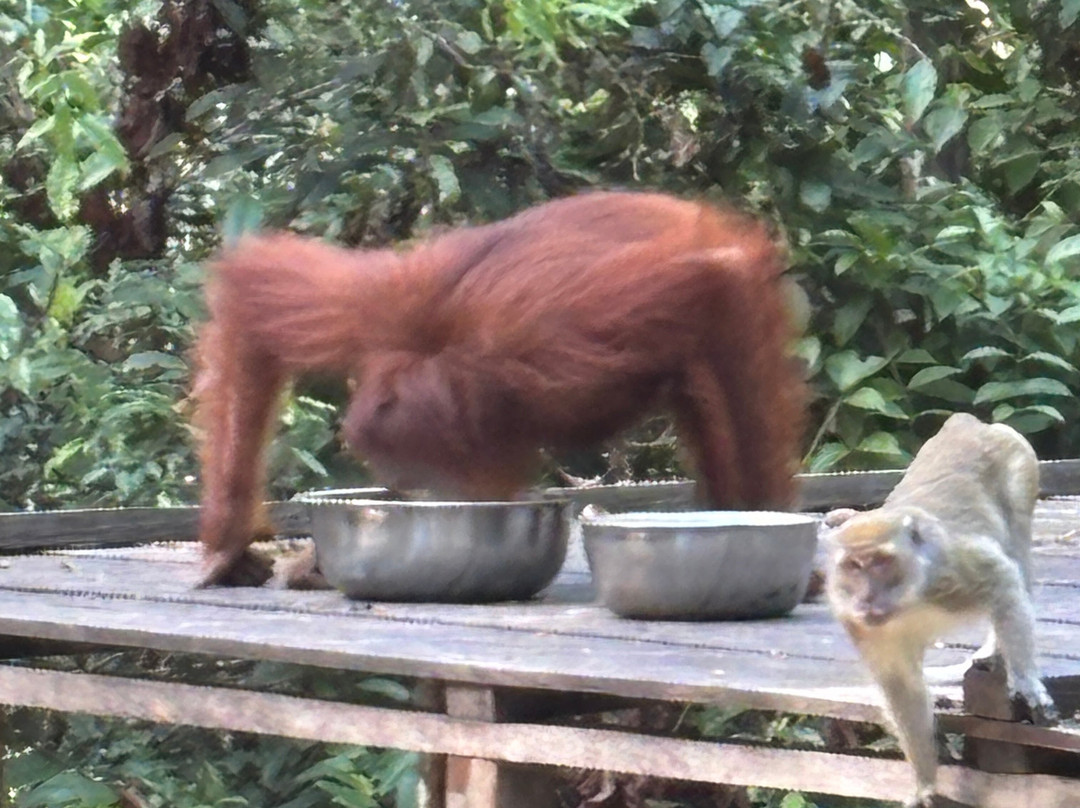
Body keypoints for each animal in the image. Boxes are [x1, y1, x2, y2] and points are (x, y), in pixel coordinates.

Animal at [193, 191, 806, 587]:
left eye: (432, 476)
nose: (433, 498)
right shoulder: (383, 306)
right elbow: (253, 291)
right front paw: (229, 552)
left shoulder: (547, 336)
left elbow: (717, 280)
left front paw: (762, 525)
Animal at [824, 412, 1058, 807]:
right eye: (853, 566)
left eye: (881, 562)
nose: (867, 598)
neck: (907, 599)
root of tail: (965, 423)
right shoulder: (859, 623)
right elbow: (902, 686)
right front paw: (925, 784)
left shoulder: (954, 568)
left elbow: (1003, 578)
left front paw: (1026, 681)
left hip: (1019, 461)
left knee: (1016, 546)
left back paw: (996, 650)